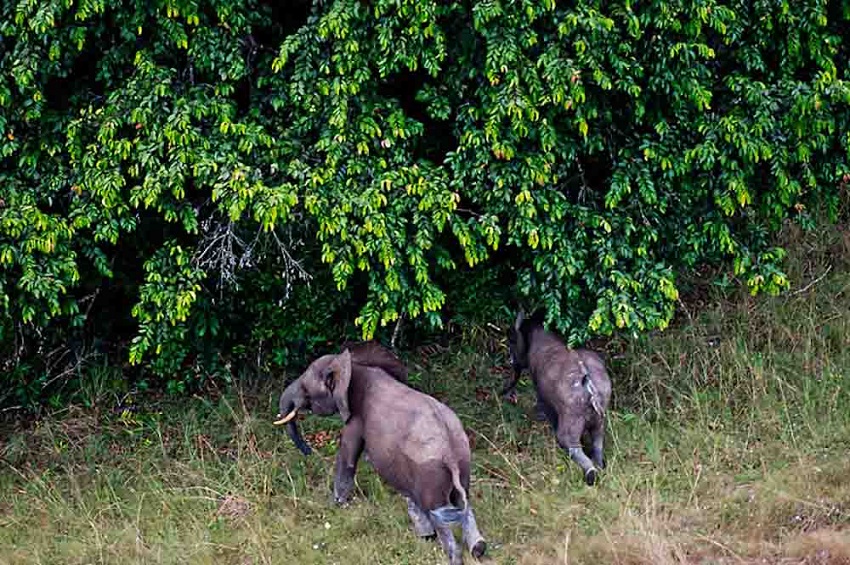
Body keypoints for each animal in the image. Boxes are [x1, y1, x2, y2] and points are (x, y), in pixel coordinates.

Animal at [504, 309, 612, 486]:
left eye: (512, 341)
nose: (510, 359)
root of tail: (591, 389)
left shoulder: (543, 396)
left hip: (572, 416)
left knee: (570, 443)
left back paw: (590, 475)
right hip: (599, 418)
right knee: (598, 441)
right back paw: (600, 466)